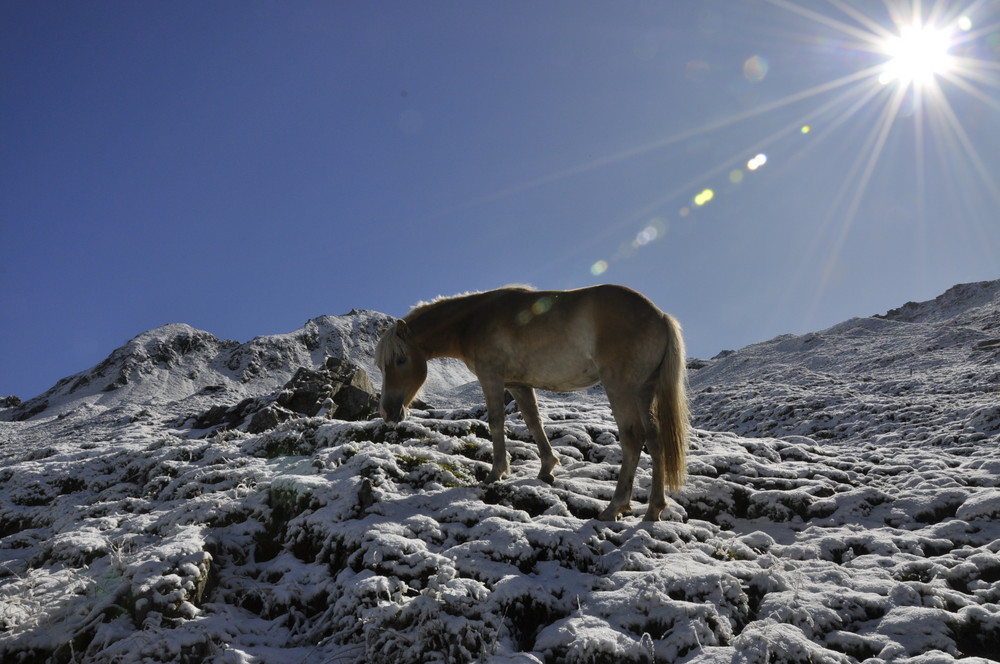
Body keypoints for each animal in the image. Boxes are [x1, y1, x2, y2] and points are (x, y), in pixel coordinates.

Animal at [376, 282, 688, 520]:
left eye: (400, 360)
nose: (389, 412)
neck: (474, 320)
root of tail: (660, 317)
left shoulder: (492, 377)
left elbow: (496, 421)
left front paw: (496, 472)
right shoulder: (519, 385)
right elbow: (533, 420)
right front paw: (547, 468)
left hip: (621, 389)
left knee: (633, 439)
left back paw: (614, 507)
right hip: (644, 393)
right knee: (655, 440)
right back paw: (654, 510)